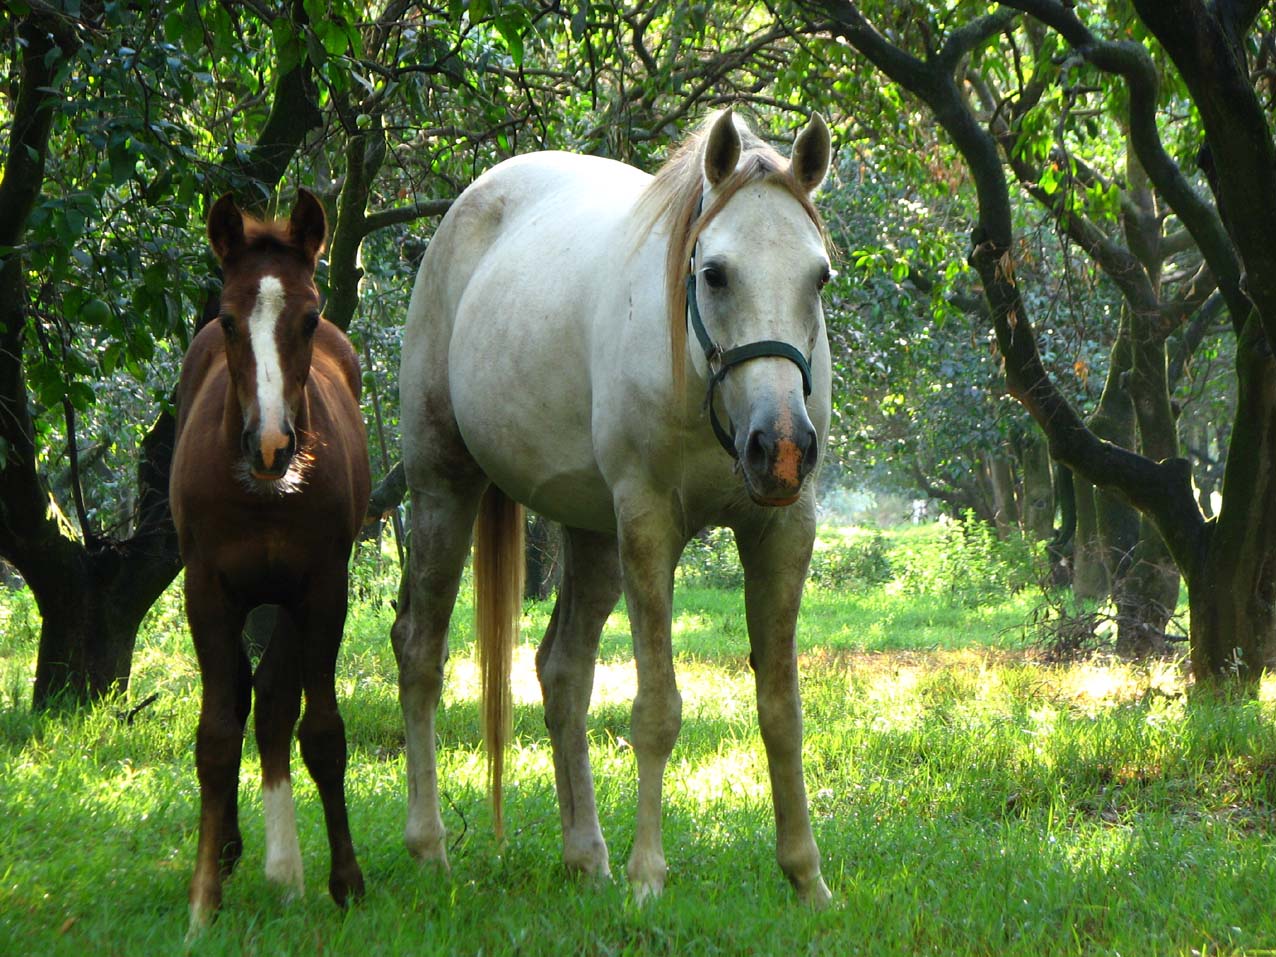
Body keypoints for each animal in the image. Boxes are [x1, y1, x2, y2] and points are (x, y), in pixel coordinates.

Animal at [398, 112, 837, 908]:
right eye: (715, 272)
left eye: (817, 277)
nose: (782, 447)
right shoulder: (649, 525)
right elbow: (657, 711)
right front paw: (648, 876)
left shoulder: (784, 528)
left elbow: (781, 710)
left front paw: (805, 877)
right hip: (443, 487)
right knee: (420, 652)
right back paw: (431, 847)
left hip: (592, 535)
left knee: (562, 674)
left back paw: (586, 856)